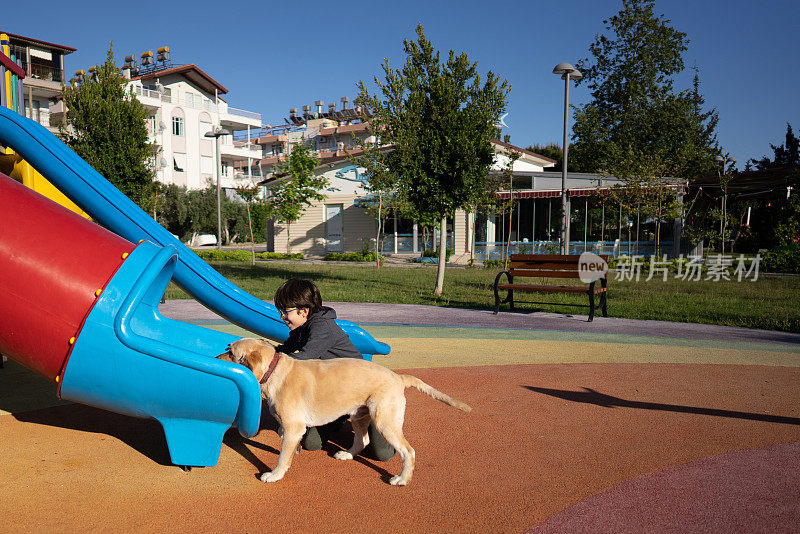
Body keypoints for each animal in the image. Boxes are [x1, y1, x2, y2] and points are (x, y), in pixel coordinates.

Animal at [216, 342, 472, 488]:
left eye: (230, 351)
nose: (215, 359)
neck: (275, 370)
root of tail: (398, 377)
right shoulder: (290, 428)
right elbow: (285, 444)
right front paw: (293, 454)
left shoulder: (293, 427)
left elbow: (281, 457)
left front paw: (275, 474)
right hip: (359, 416)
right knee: (363, 440)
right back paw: (348, 454)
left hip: (385, 421)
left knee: (408, 451)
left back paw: (402, 479)